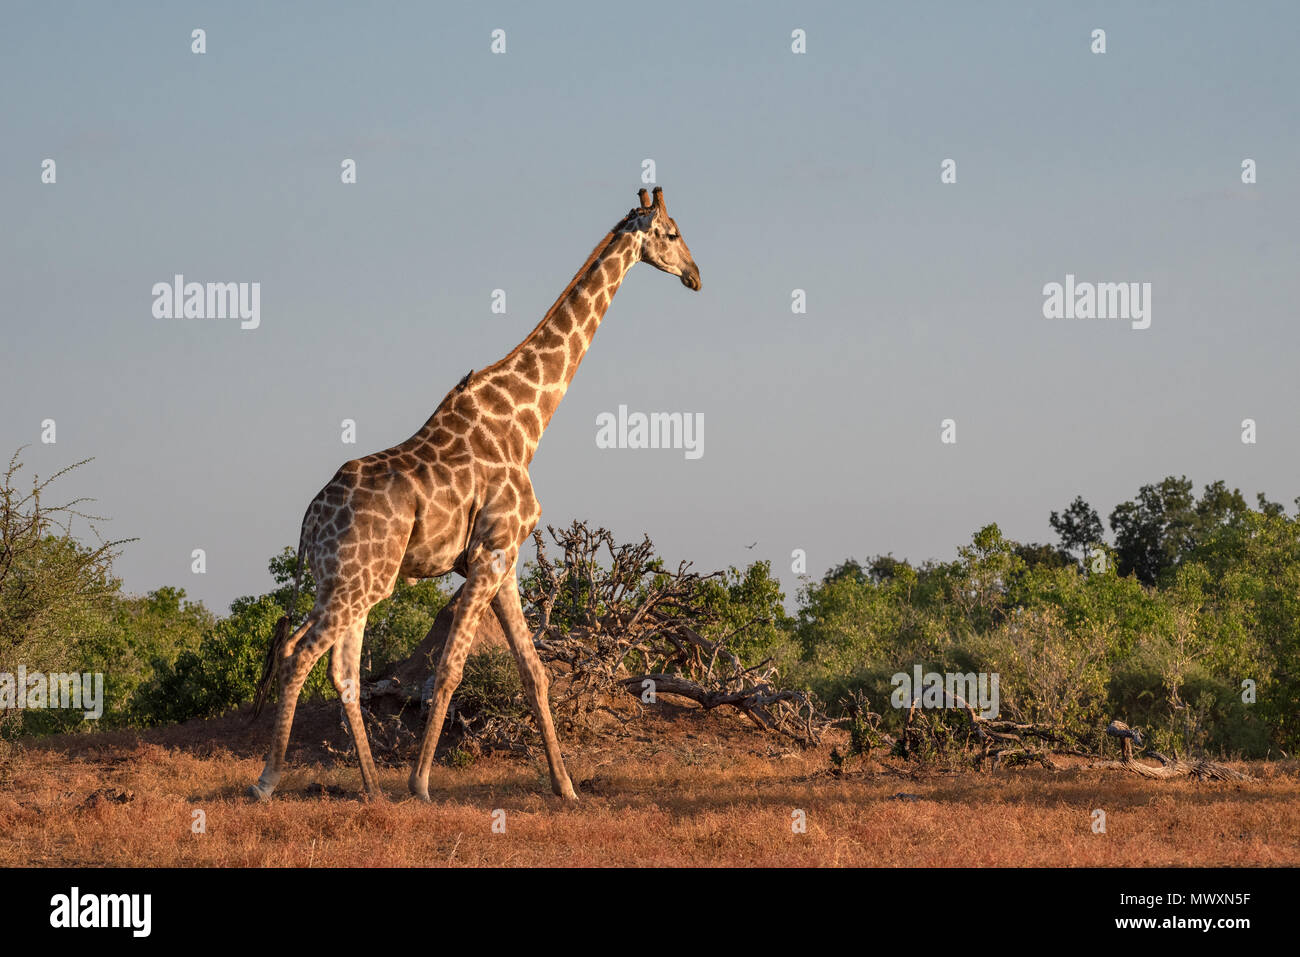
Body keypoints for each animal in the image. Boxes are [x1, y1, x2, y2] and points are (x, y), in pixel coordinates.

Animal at [249, 184, 707, 800]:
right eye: (673, 233)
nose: (696, 275)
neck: (527, 423)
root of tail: (308, 518)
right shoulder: (491, 554)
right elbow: (449, 670)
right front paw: (421, 785)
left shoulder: (502, 560)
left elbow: (534, 673)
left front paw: (566, 788)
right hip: (357, 581)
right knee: (300, 653)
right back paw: (269, 780)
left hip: (347, 580)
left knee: (339, 668)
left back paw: (372, 788)